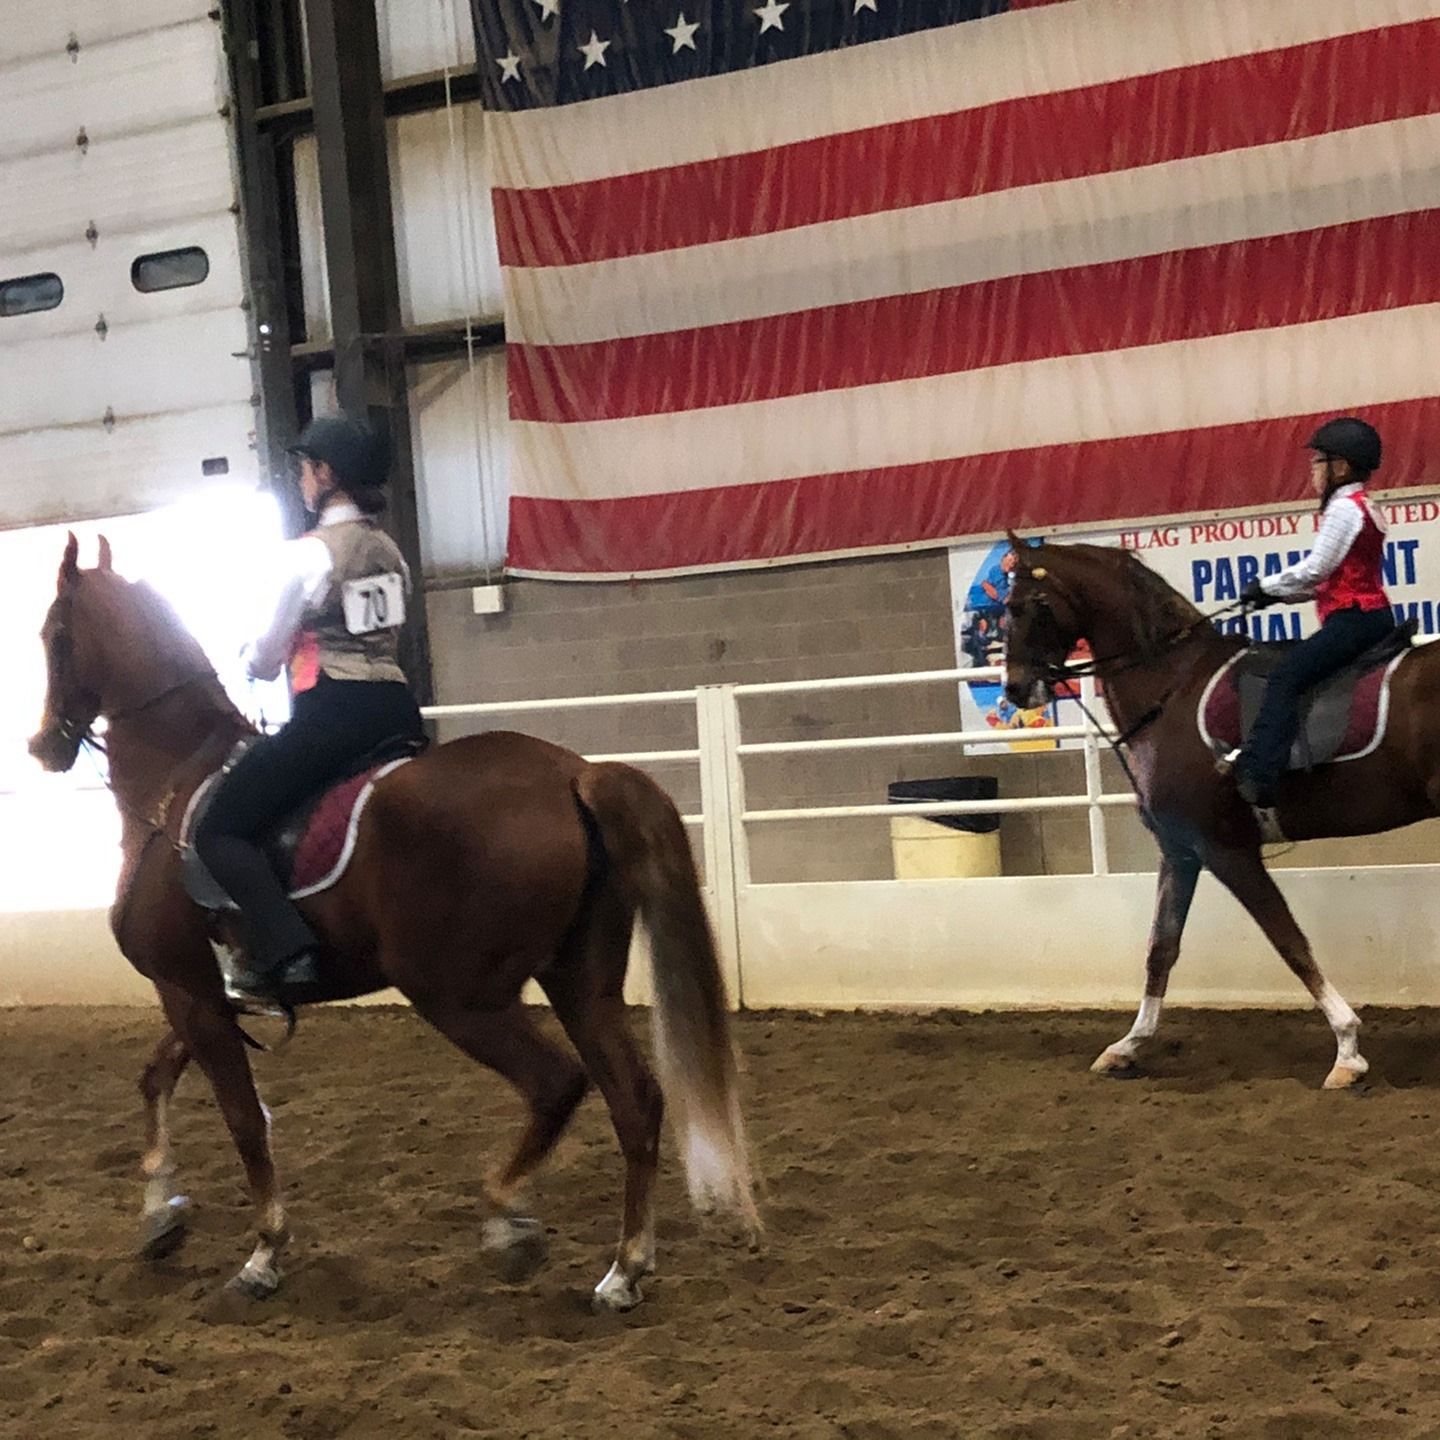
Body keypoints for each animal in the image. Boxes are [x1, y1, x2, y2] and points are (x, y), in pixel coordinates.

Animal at [26, 534, 758, 1309]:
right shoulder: (204, 993)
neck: (174, 784)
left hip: (456, 995)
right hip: (580, 983)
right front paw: (160, 1215)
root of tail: (572, 774)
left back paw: (510, 1222)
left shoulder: (187, 990)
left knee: (557, 1084)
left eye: (55, 635)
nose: (44, 745)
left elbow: (245, 1122)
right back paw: (624, 1268)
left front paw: (263, 1252)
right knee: (635, 1101)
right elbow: (155, 1080)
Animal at [1000, 531, 1440, 1090]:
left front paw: (1347, 1051)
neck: (1170, 690)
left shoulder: (1226, 850)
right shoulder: (1180, 850)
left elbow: (1289, 941)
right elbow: (1160, 948)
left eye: (1024, 605)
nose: (1015, 689)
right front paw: (1127, 1046)